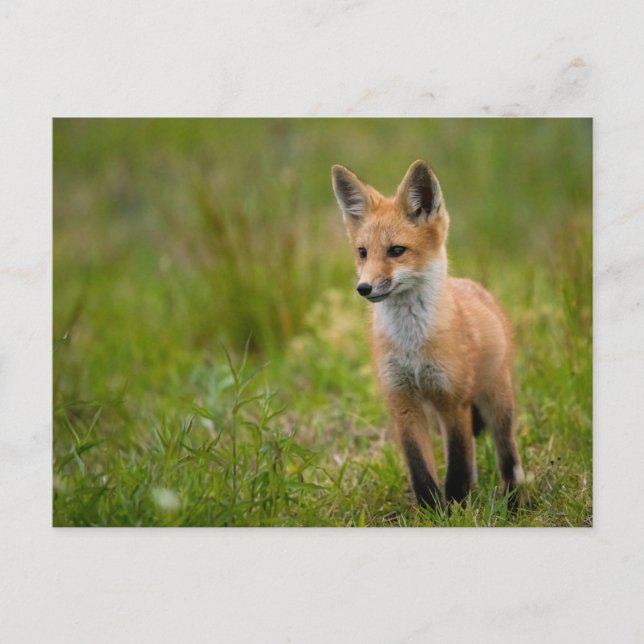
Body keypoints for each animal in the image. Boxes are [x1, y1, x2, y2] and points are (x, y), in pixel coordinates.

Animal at [331, 159, 525, 510]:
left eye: (396, 250)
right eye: (362, 252)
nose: (363, 288)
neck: (412, 346)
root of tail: (476, 288)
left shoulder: (452, 399)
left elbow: (458, 469)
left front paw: (458, 509)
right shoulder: (402, 402)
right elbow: (420, 470)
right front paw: (432, 510)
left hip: (496, 404)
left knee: (509, 459)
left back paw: (515, 503)